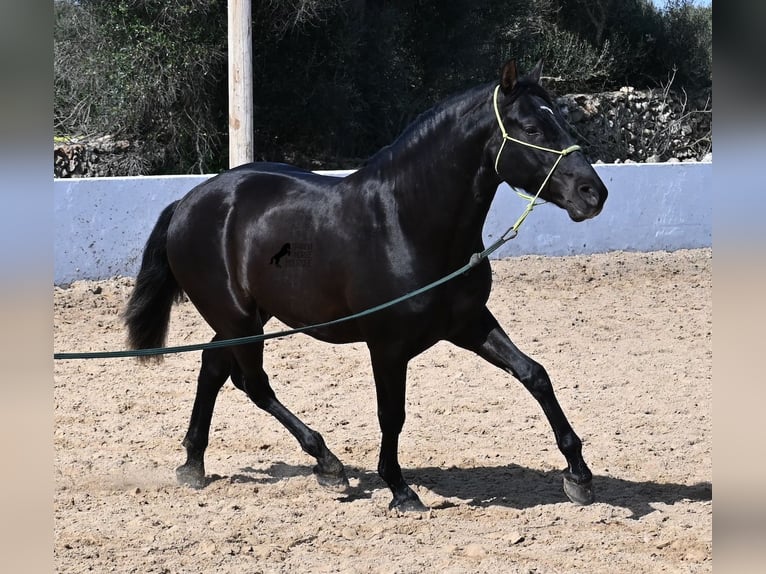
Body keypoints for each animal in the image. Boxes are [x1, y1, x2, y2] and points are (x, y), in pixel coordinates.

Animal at [123, 62, 608, 512]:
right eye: (532, 128)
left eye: (563, 123)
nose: (594, 193)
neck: (405, 223)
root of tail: (187, 202)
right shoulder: (387, 345)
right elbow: (391, 414)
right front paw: (400, 490)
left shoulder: (467, 323)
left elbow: (534, 374)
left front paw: (579, 476)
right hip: (237, 317)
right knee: (253, 383)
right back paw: (327, 464)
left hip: (248, 316)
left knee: (213, 366)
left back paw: (194, 464)